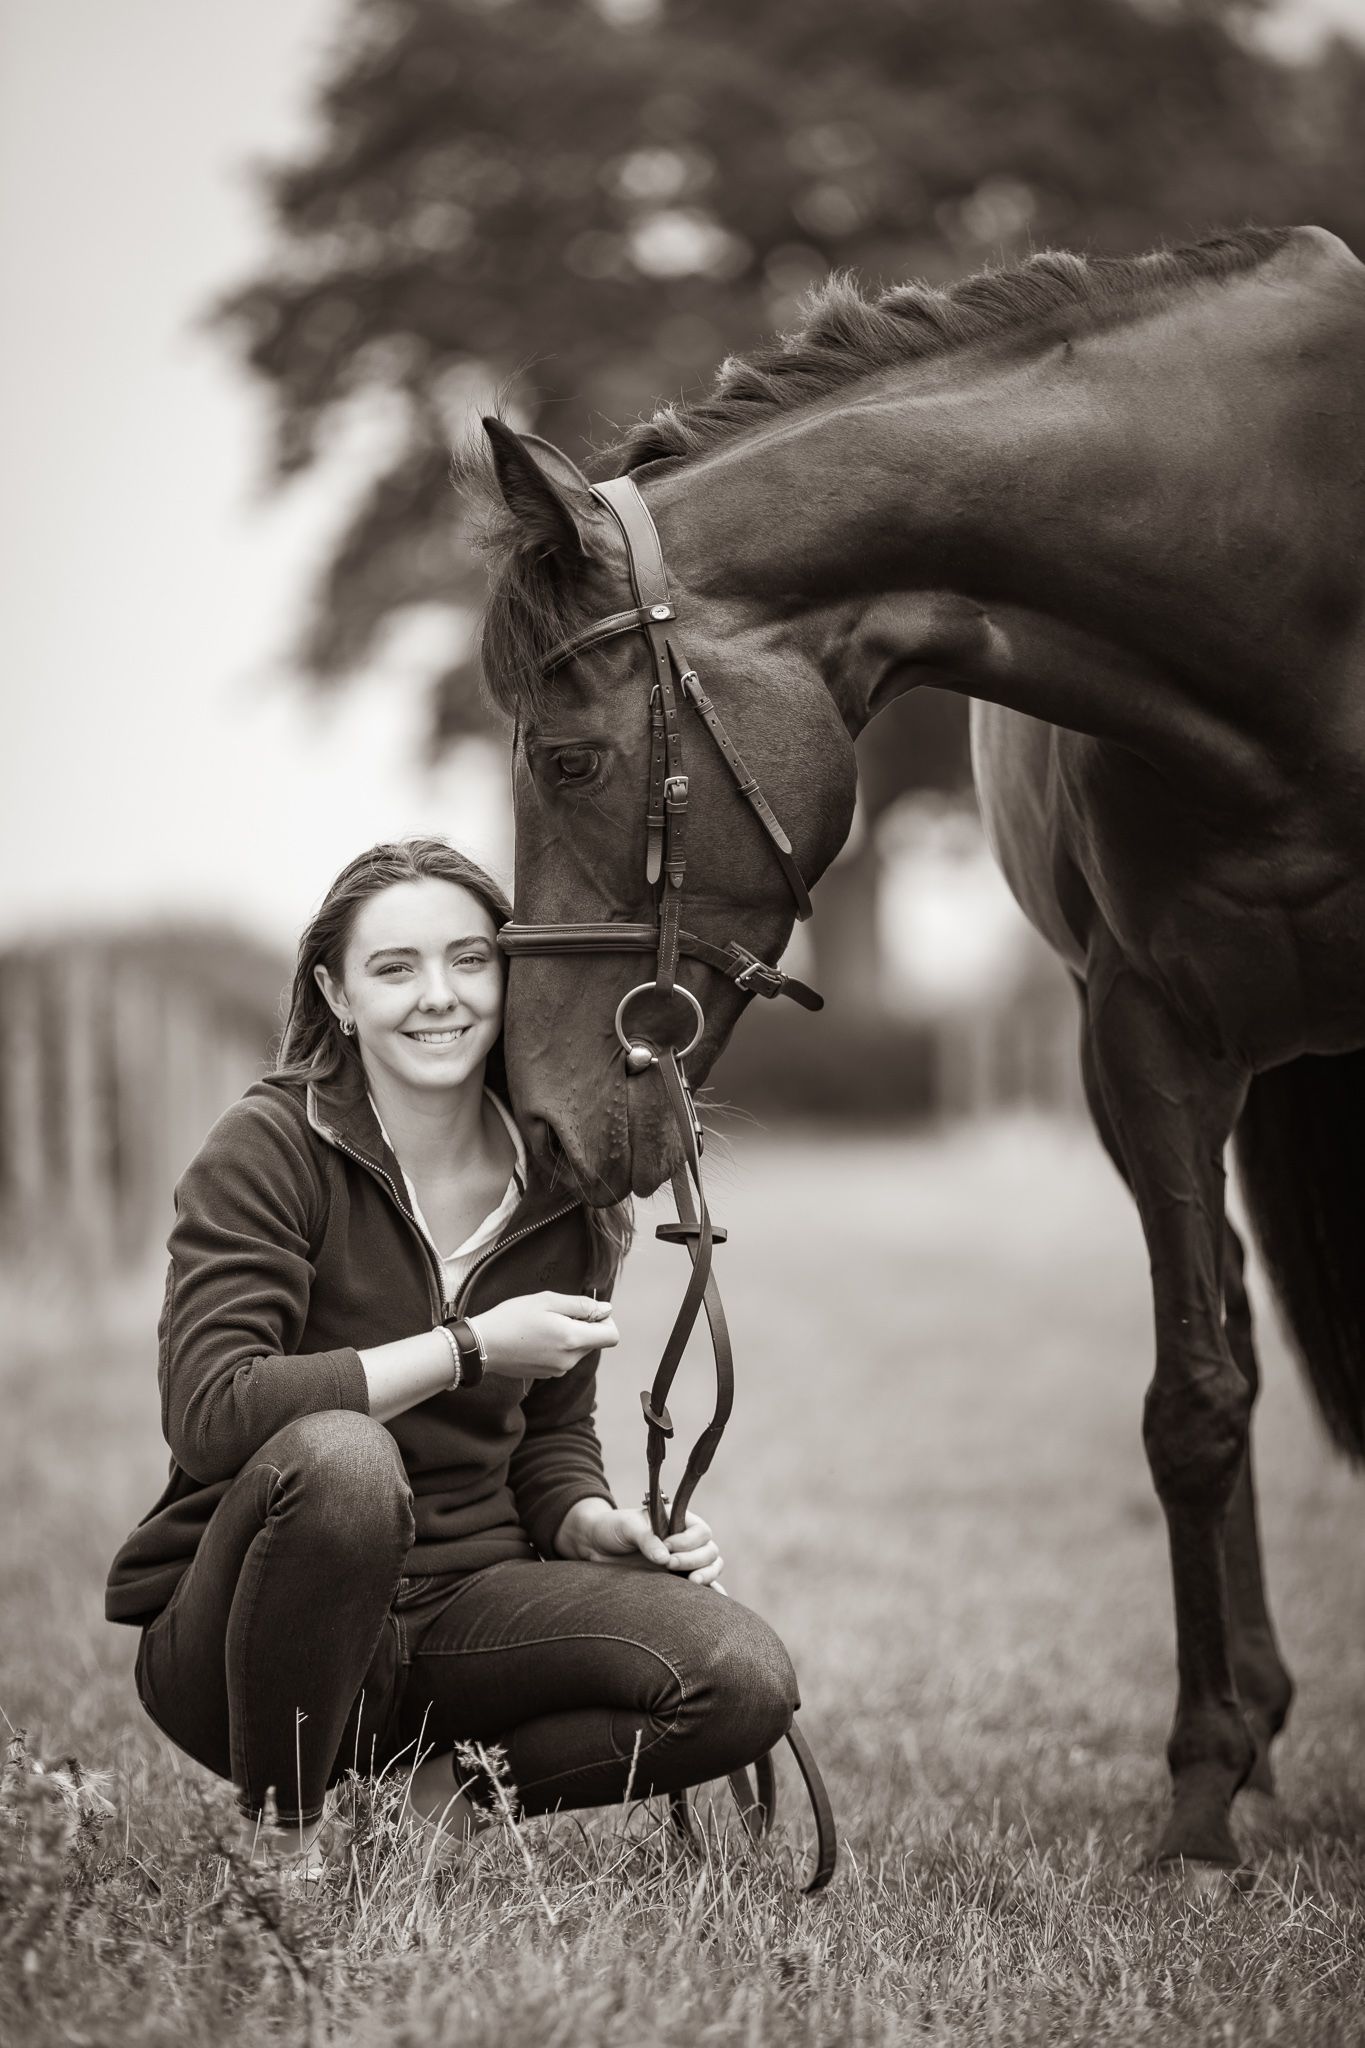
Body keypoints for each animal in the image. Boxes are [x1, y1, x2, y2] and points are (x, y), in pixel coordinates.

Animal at [460, 223, 1365, 1878]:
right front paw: (1204, 1787)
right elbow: (1195, 1401)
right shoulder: (1145, 1044)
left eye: (566, 757)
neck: (1291, 577)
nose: (538, 1127)